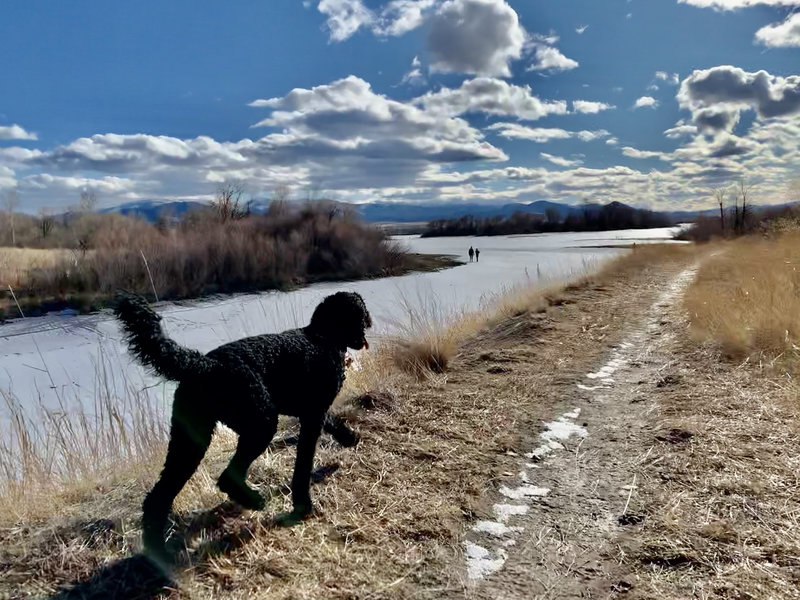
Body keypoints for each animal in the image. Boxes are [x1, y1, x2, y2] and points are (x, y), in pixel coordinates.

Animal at [113, 290, 372, 564]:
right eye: (360, 314)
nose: (367, 325)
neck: (322, 337)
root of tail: (202, 365)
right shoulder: (312, 416)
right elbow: (303, 465)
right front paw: (302, 505)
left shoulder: (310, 410)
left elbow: (332, 422)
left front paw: (349, 438)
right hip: (260, 422)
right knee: (228, 477)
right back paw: (253, 500)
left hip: (189, 440)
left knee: (158, 498)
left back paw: (158, 552)